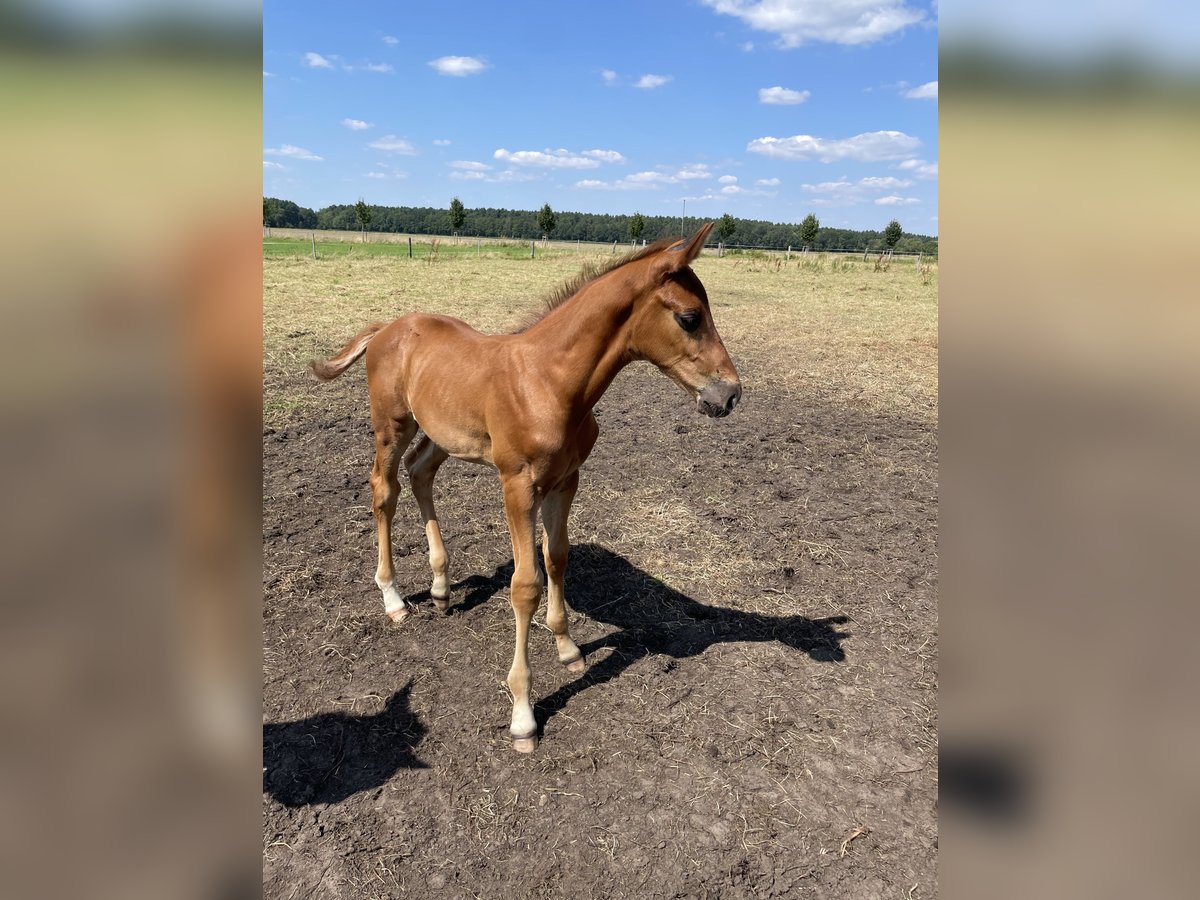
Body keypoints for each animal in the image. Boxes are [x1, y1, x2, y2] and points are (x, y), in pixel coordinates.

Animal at [309, 225, 739, 753]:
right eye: (689, 317)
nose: (730, 394)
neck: (549, 382)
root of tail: (388, 327)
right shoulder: (517, 485)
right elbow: (525, 584)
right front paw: (522, 714)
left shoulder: (566, 480)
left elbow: (556, 558)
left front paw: (568, 648)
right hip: (392, 426)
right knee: (383, 490)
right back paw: (392, 599)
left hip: (442, 433)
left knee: (420, 472)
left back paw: (440, 587)